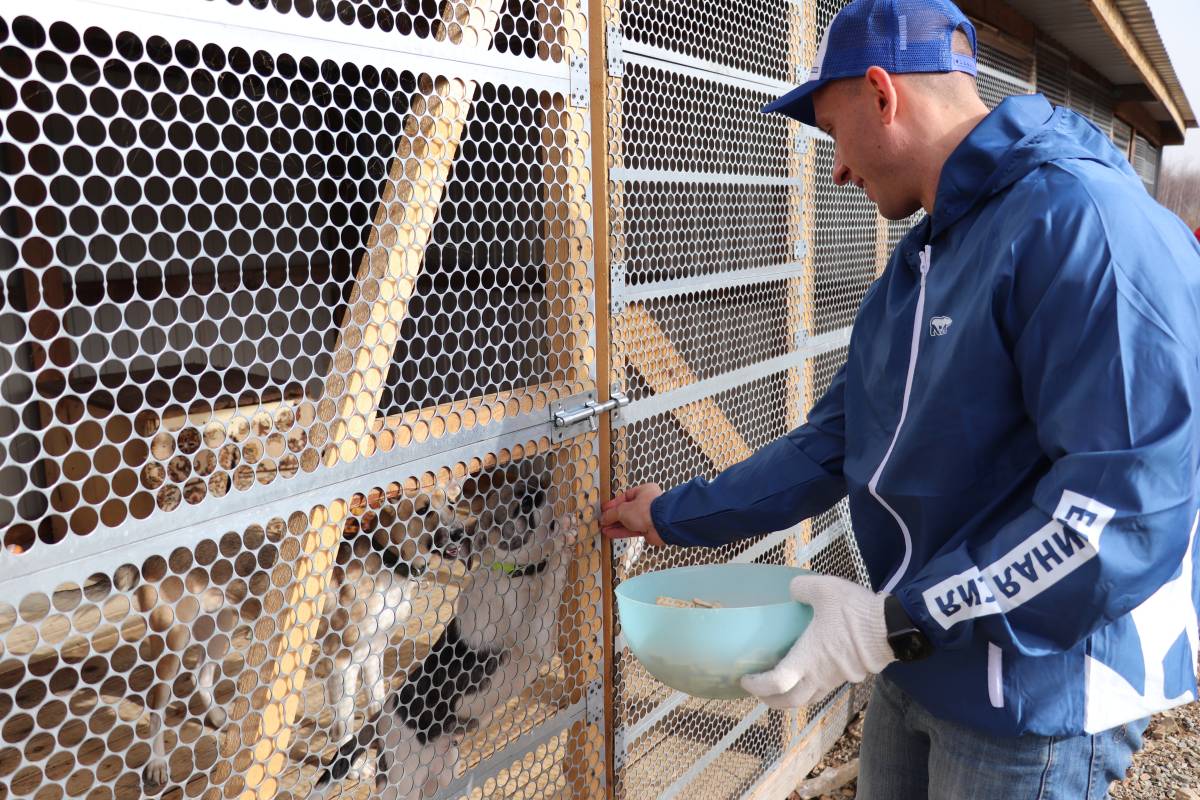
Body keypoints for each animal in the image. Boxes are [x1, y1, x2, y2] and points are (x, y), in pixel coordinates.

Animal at [314, 460, 576, 796]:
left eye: (529, 488)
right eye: (516, 505)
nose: (538, 491)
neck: (516, 574)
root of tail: (381, 720)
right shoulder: (537, 642)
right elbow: (551, 580)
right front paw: (561, 542)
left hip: (443, 772)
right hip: (404, 782)